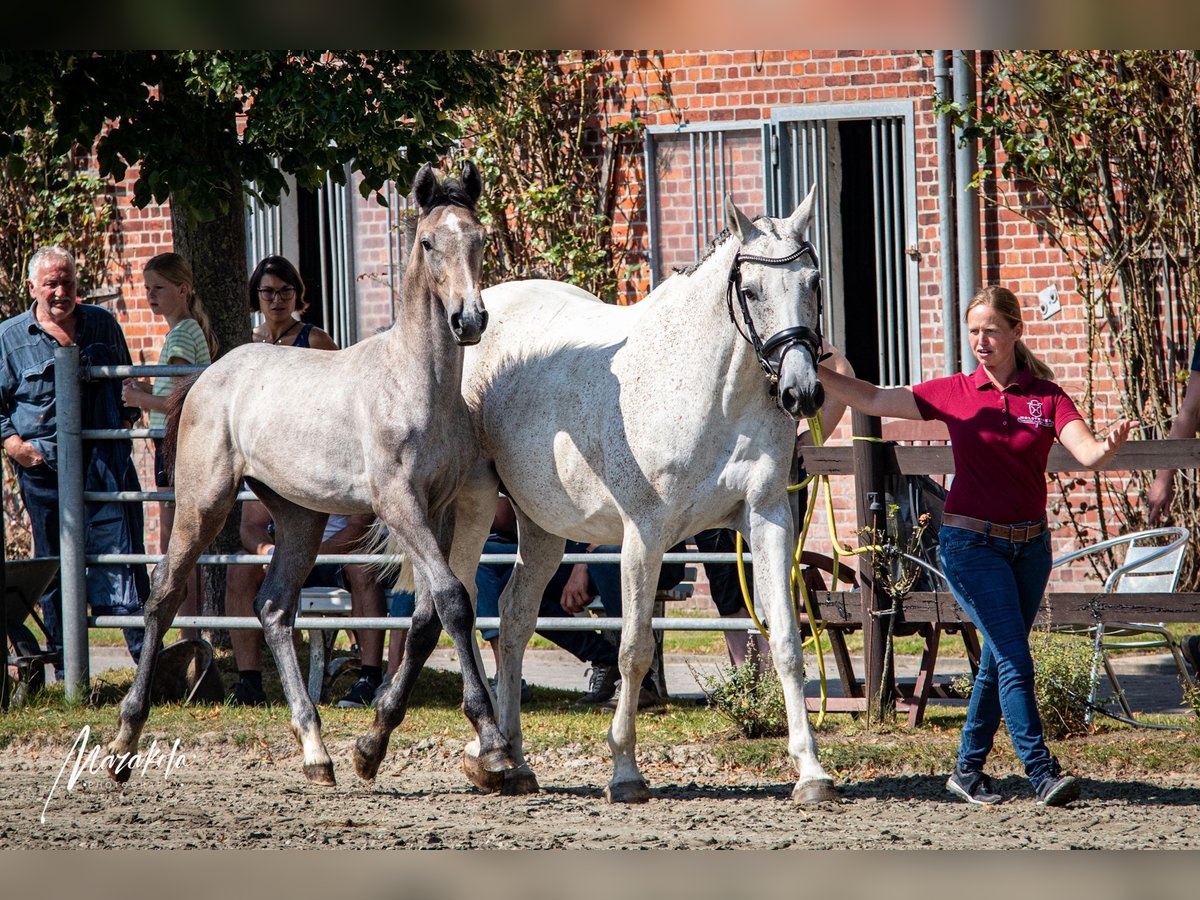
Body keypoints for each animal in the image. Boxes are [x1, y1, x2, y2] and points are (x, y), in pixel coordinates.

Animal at [360, 188, 840, 801]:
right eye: (751, 290)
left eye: (814, 282)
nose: (802, 392)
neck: (711, 390)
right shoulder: (645, 536)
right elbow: (634, 649)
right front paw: (626, 771)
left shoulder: (767, 519)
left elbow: (784, 640)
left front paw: (811, 772)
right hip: (469, 509)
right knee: (447, 606)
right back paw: (463, 751)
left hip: (541, 525)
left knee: (513, 618)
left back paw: (510, 757)